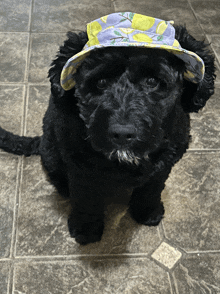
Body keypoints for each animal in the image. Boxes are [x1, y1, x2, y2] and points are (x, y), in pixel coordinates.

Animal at [0, 15, 215, 243]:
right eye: (101, 81)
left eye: (152, 81)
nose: (122, 134)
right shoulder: (81, 169)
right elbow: (85, 200)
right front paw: (86, 229)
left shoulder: (165, 163)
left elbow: (152, 188)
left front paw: (148, 211)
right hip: (51, 148)